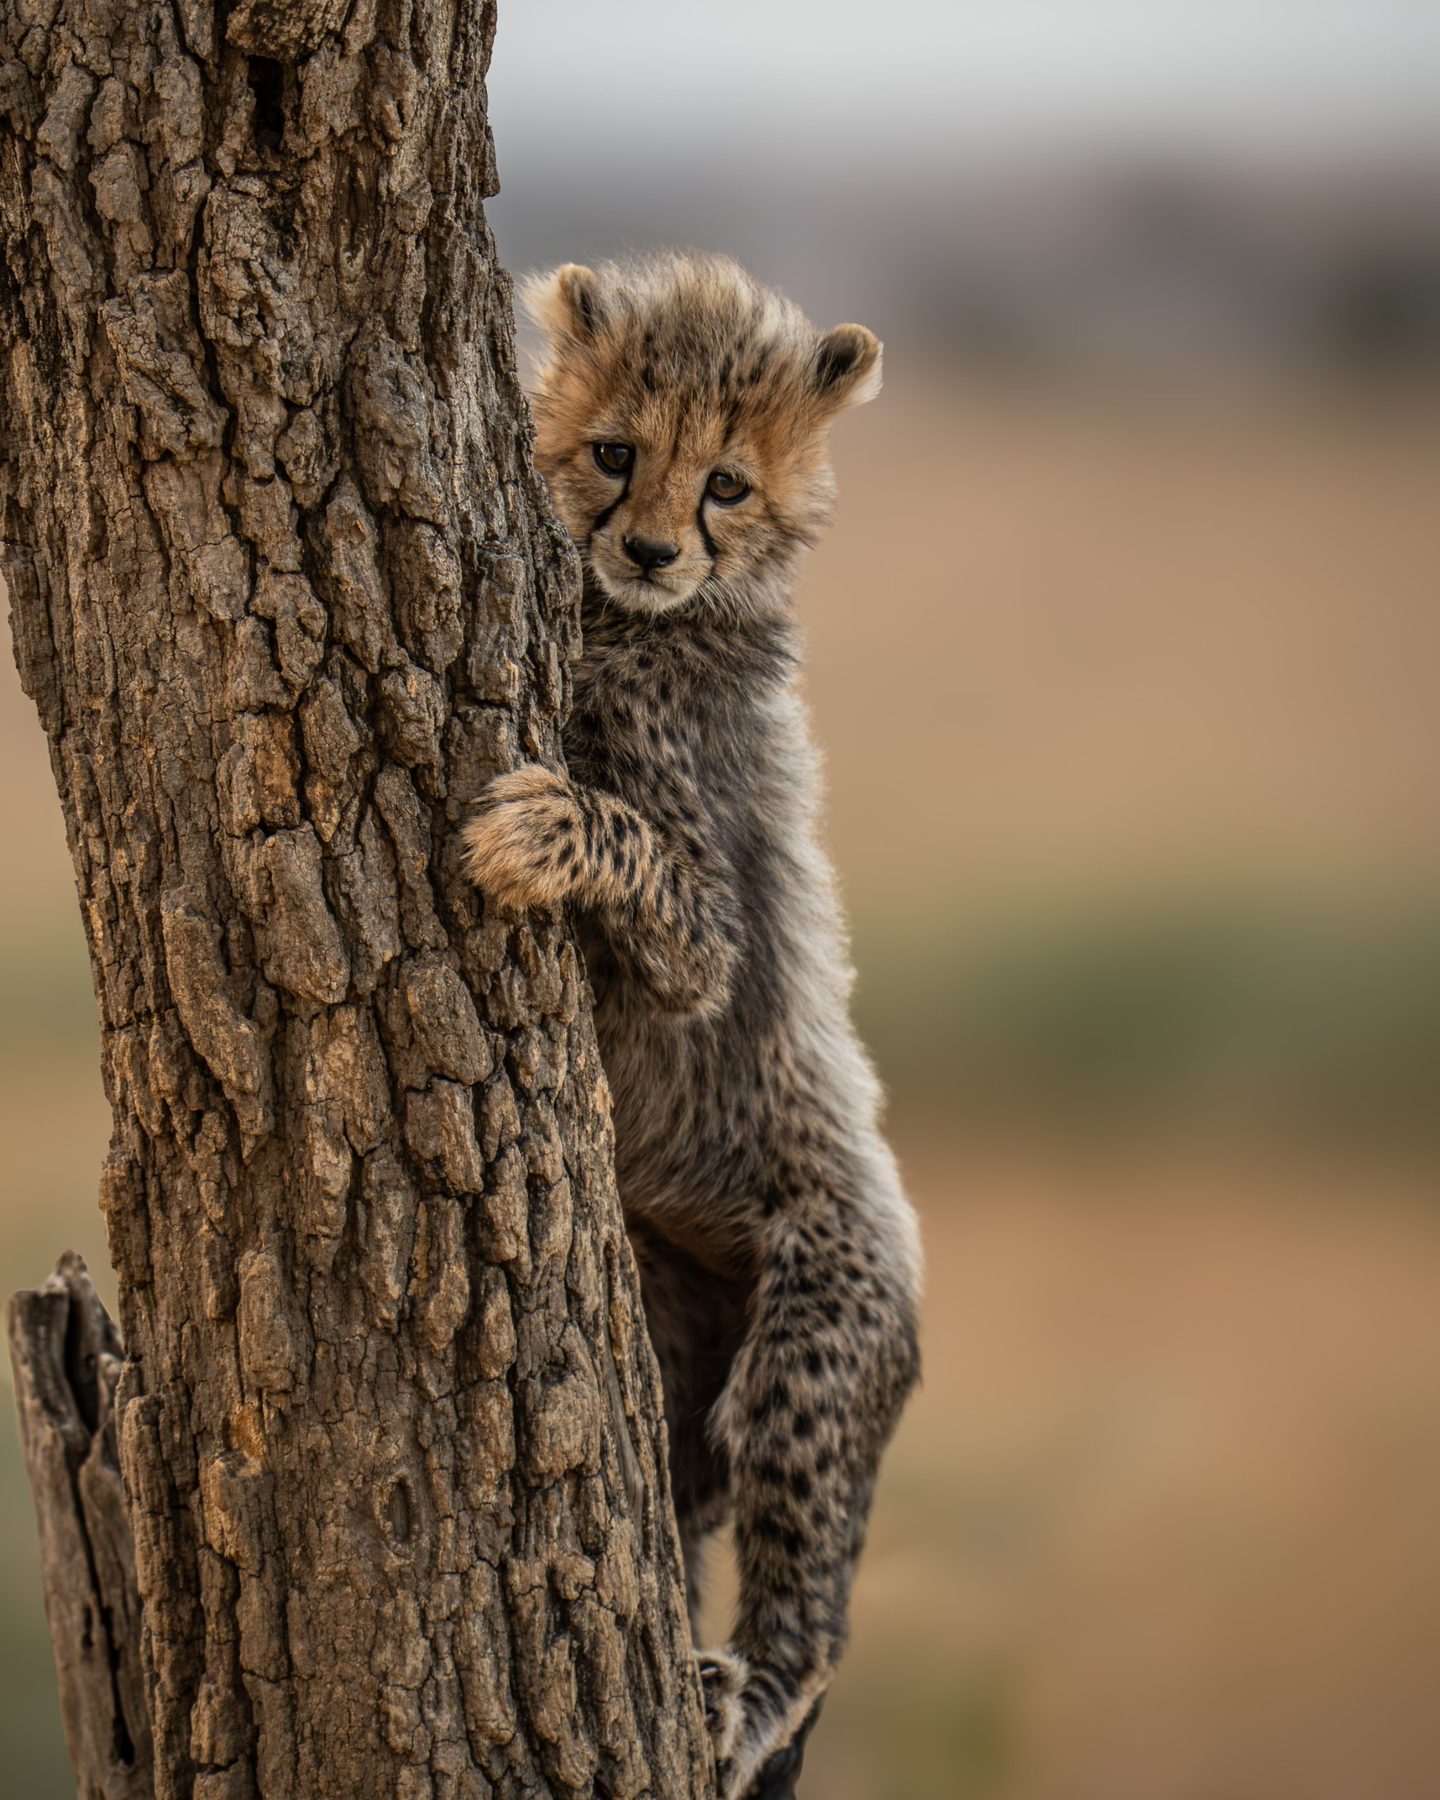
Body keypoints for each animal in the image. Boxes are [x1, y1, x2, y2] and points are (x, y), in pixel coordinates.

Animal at [462, 252, 922, 1798]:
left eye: (726, 483)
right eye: (615, 455)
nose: (657, 551)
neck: (640, 625)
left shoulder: (707, 938)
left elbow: (646, 860)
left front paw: (541, 825)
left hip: (814, 1342)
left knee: (820, 1608)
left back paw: (741, 1698)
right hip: (667, 1334)